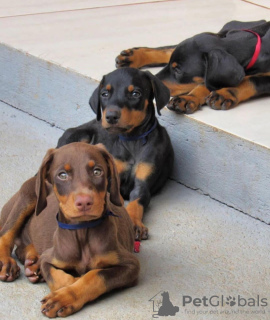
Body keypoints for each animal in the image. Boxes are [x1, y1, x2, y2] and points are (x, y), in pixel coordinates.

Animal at [0, 143, 139, 318]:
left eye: (97, 171)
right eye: (62, 175)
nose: (84, 202)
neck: (82, 230)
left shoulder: (130, 264)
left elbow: (95, 275)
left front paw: (67, 295)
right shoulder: (49, 258)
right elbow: (58, 277)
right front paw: (65, 291)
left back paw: (33, 264)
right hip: (27, 196)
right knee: (6, 234)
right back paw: (7, 263)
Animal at [57, 69, 174, 241]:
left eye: (135, 93)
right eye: (104, 94)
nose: (111, 116)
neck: (132, 140)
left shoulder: (143, 184)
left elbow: (136, 202)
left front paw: (134, 223)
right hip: (78, 136)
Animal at [115, 19, 270, 114]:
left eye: (178, 70)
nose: (149, 84)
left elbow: (251, 80)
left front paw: (224, 93)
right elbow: (204, 83)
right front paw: (189, 98)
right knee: (169, 49)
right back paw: (132, 57)